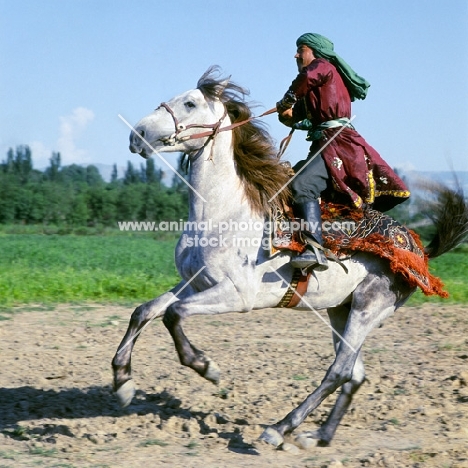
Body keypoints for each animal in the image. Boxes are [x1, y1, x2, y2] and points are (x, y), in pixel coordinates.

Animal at [113, 66, 468, 446]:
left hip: (368, 308)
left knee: (339, 370)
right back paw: (319, 435)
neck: (224, 214)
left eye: (191, 102)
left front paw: (208, 367)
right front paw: (122, 383)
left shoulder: (237, 295)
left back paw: (279, 428)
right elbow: (144, 311)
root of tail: (419, 252)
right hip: (340, 311)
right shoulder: (195, 284)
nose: (137, 134)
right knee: (355, 374)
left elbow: (173, 315)